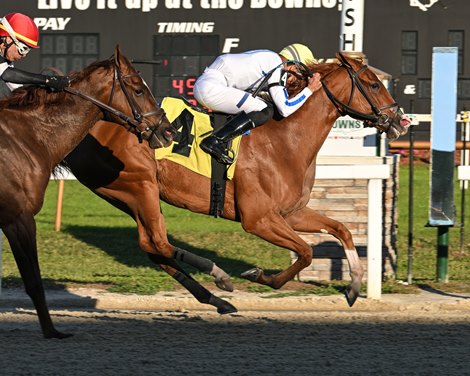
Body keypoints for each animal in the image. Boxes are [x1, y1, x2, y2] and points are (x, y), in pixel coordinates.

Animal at [0, 46, 176, 338]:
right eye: (139, 89)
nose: (168, 131)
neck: (29, 137)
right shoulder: (20, 218)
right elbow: (34, 280)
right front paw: (52, 331)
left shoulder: (12, 220)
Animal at [64, 51, 410, 312]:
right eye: (373, 84)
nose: (401, 120)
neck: (287, 139)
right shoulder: (259, 219)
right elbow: (306, 253)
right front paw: (259, 275)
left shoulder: (290, 213)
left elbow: (342, 230)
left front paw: (354, 286)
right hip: (140, 185)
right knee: (158, 243)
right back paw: (218, 278)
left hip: (126, 195)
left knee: (152, 247)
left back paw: (215, 299)